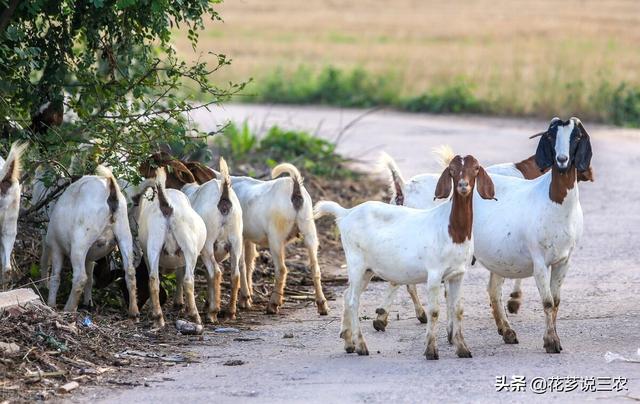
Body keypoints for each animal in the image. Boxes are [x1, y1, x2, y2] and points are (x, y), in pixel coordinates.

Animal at [43, 164, 139, 316]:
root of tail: (111, 189)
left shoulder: (57, 247)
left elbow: (55, 277)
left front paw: (51, 303)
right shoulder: (90, 257)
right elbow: (90, 279)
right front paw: (88, 303)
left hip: (81, 241)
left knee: (80, 277)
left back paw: (69, 308)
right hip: (124, 233)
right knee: (129, 272)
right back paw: (133, 311)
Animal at [138, 168, 206, 328]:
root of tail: (167, 206)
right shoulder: (182, 256)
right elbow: (180, 275)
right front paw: (179, 303)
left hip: (154, 242)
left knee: (153, 279)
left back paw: (158, 317)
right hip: (189, 246)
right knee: (188, 280)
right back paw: (195, 316)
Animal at [316, 155, 496, 360]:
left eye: (476, 168)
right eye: (452, 170)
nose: (463, 185)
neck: (452, 230)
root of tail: (346, 214)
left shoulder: (458, 274)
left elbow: (458, 310)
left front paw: (463, 349)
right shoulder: (434, 273)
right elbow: (434, 311)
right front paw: (431, 350)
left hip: (368, 269)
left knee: (347, 295)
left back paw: (348, 342)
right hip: (355, 262)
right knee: (354, 301)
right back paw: (361, 345)